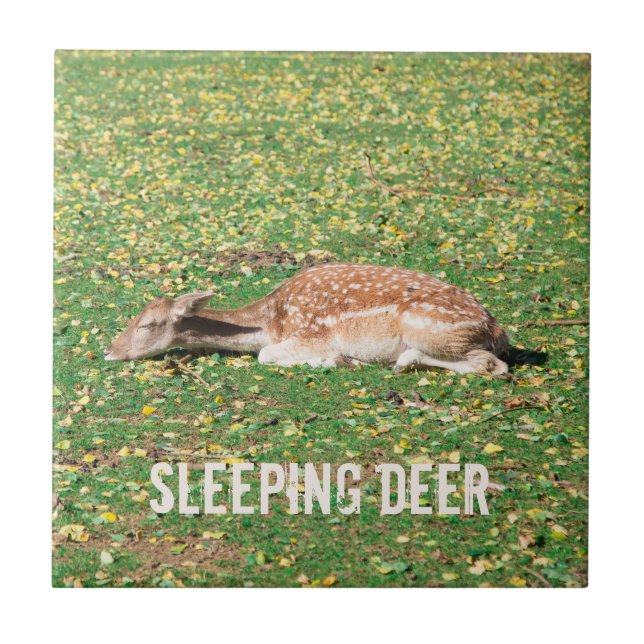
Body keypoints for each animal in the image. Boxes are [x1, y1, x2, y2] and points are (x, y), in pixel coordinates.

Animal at [104, 263, 510, 375]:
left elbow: (266, 355)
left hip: (434, 330)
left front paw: (332, 359)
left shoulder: (312, 333)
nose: (108, 351)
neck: (272, 322)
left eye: (147, 325)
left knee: (493, 366)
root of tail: (495, 328)